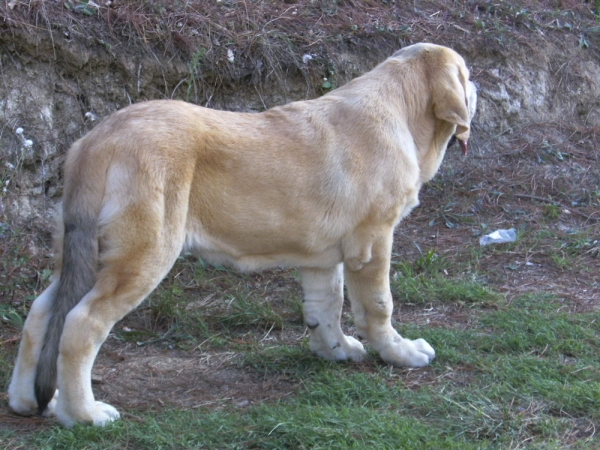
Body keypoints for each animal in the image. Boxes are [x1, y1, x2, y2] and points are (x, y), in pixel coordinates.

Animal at [7, 44, 476, 428]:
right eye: (467, 75)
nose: (477, 88)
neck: (402, 108)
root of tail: (98, 140)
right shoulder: (374, 240)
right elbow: (378, 305)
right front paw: (400, 352)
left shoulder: (321, 258)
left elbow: (325, 305)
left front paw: (335, 349)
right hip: (142, 255)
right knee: (81, 324)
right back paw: (84, 414)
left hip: (79, 255)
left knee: (41, 314)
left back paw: (29, 402)